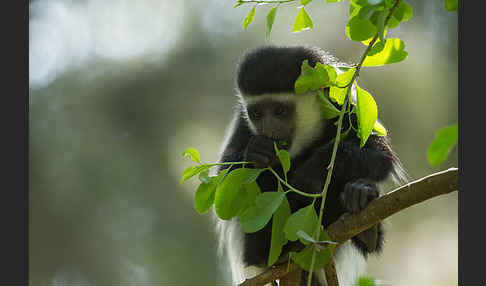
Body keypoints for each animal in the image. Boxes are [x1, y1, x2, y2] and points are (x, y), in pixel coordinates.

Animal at [215, 45, 404, 286]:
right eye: (256, 114)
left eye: (280, 111)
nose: (268, 131)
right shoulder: (242, 122)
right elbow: (225, 180)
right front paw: (256, 151)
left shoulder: (345, 107)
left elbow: (379, 157)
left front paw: (311, 173)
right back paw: (268, 255)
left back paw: (363, 208)